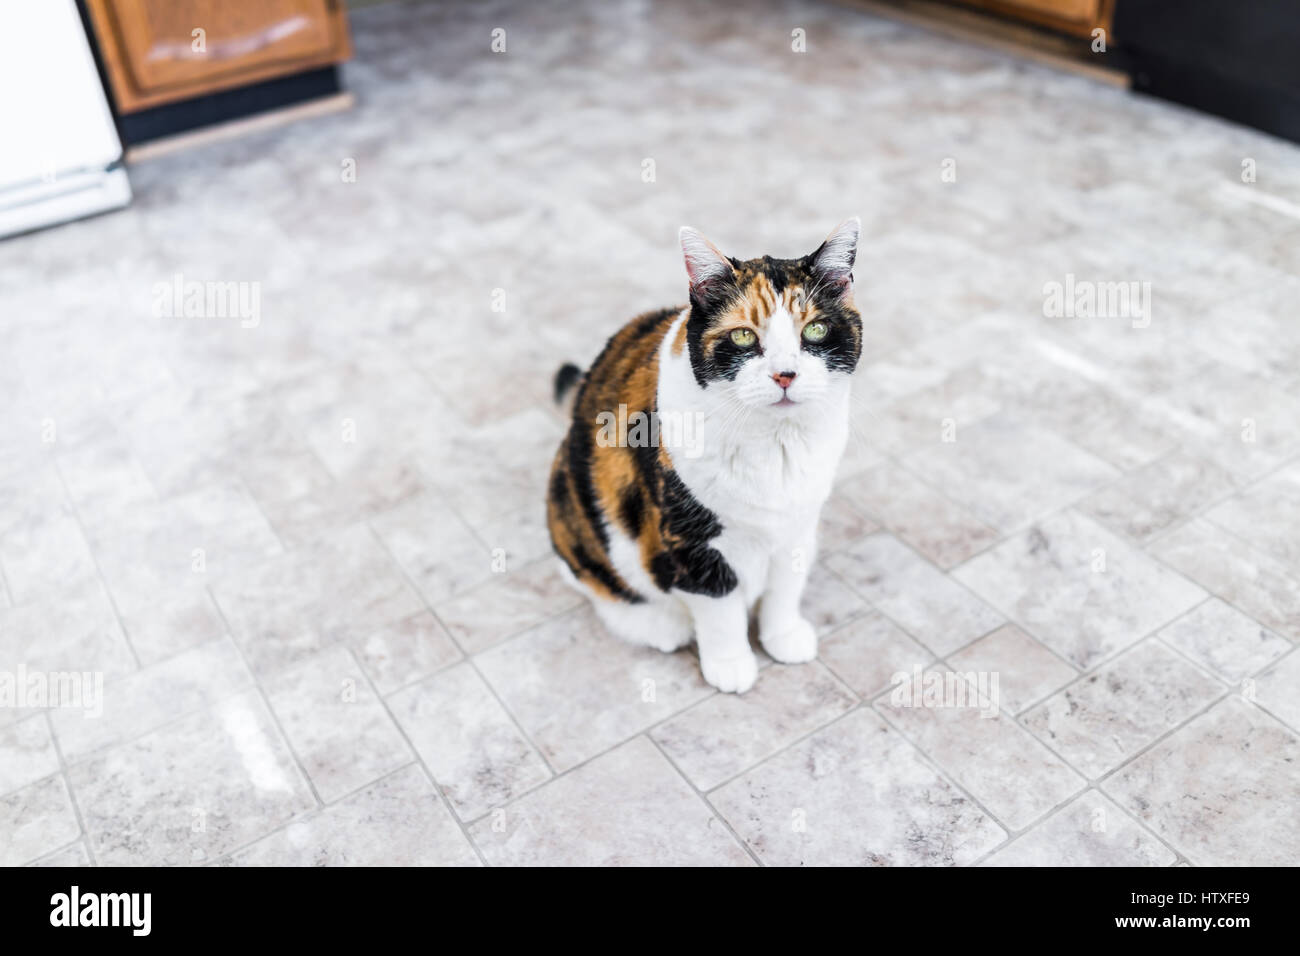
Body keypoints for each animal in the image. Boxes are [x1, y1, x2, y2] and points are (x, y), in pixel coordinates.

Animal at [548, 221, 863, 691]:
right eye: (743, 335)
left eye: (816, 331)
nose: (785, 374)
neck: (776, 445)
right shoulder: (691, 541)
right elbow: (720, 607)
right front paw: (731, 664)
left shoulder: (798, 524)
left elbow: (786, 586)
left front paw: (783, 636)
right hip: (575, 505)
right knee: (592, 579)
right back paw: (660, 626)